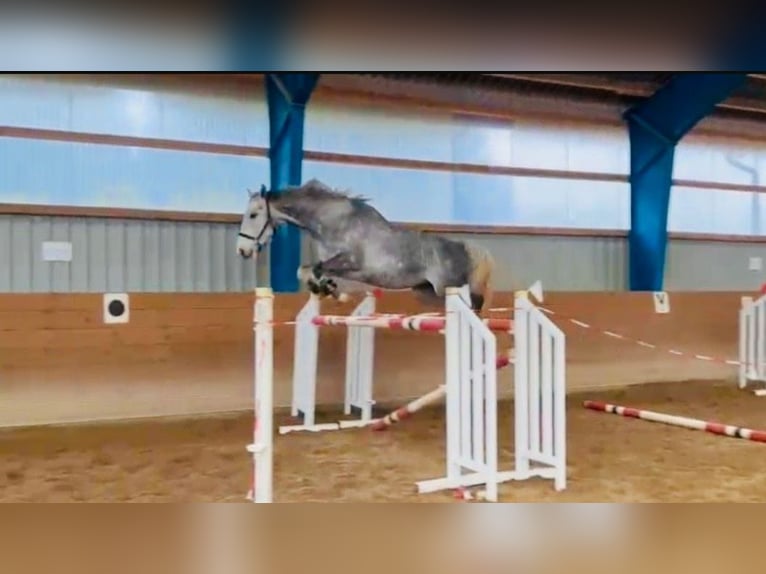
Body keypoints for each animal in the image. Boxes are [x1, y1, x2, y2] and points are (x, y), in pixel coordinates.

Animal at [236, 180, 498, 316]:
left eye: (253, 215)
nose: (242, 250)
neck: (332, 222)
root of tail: (467, 249)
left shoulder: (351, 262)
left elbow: (316, 269)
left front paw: (332, 291)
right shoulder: (341, 267)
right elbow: (307, 271)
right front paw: (329, 290)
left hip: (450, 288)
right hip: (426, 293)